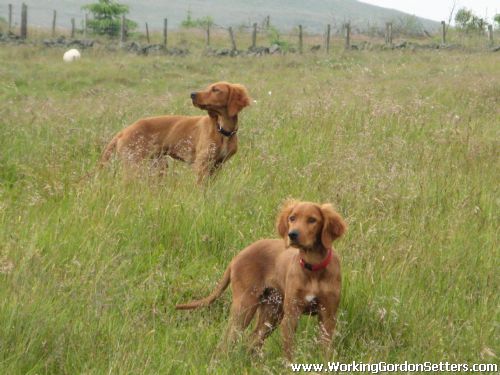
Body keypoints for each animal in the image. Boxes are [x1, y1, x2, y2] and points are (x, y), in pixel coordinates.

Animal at [99, 81, 250, 183]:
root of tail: (123, 131)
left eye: (216, 90)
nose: (192, 94)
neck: (222, 130)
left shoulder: (217, 165)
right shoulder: (201, 163)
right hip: (134, 164)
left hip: (158, 165)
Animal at [177, 201, 348, 360]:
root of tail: (237, 257)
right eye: (292, 218)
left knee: (252, 340)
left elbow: (326, 352)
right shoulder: (291, 315)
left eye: (312, 220)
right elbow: (289, 353)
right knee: (228, 340)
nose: (292, 234)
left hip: (271, 313)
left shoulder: (328, 316)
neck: (313, 268)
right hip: (245, 306)